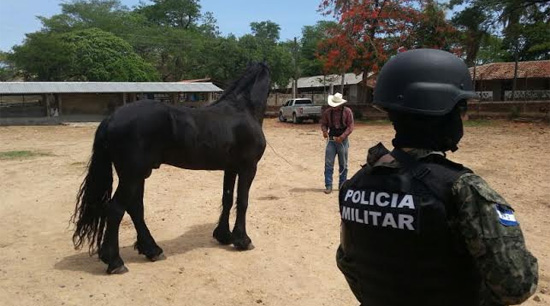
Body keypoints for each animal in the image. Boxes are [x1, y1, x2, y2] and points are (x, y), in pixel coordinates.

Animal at [71, 62, 272, 272]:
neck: (243, 110)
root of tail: (110, 119)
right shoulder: (248, 167)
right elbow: (243, 201)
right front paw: (243, 240)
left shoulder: (231, 168)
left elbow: (227, 199)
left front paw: (224, 235)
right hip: (132, 175)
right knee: (116, 209)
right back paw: (115, 261)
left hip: (138, 175)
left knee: (135, 208)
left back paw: (152, 250)